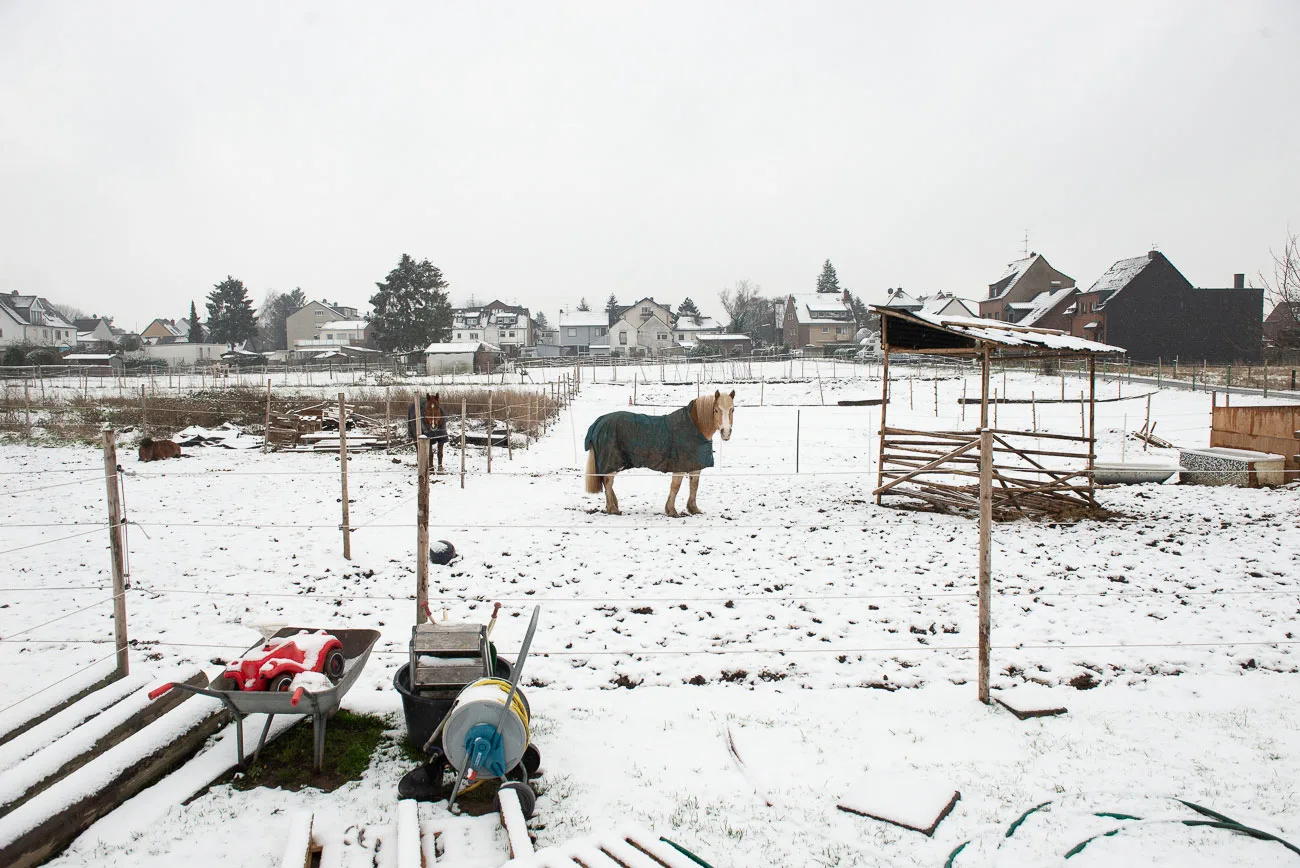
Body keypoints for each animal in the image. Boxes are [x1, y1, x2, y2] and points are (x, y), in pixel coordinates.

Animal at [585, 392, 738, 514]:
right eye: (716, 410)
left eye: (732, 409)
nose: (726, 432)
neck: (695, 426)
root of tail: (599, 421)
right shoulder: (679, 466)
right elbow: (675, 486)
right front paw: (671, 510)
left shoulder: (695, 465)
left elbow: (694, 485)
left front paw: (693, 509)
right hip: (612, 461)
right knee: (608, 482)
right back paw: (613, 509)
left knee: (607, 482)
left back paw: (613, 506)